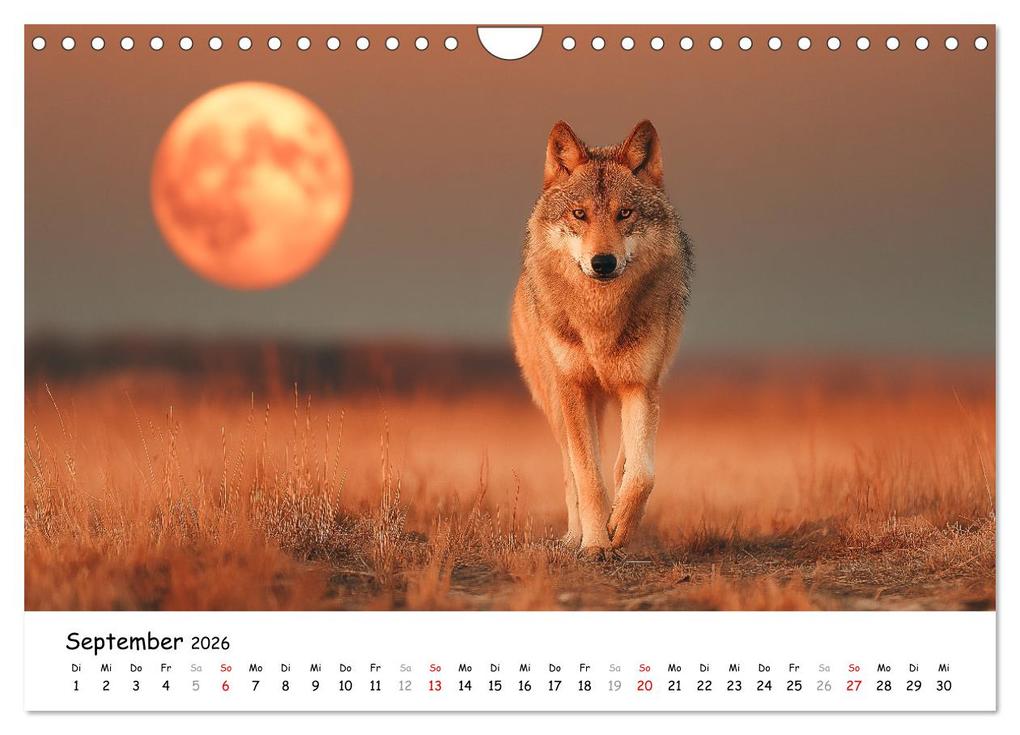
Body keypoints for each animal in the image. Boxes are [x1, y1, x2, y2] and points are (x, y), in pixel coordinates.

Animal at [510, 120, 692, 558]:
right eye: (580, 214)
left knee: (624, 459)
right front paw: (595, 544)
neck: (600, 321)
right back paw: (575, 536)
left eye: (624, 213)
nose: (603, 262)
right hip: (557, 403)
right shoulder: (574, 389)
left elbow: (641, 475)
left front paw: (620, 529)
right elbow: (587, 478)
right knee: (571, 471)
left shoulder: (640, 384)